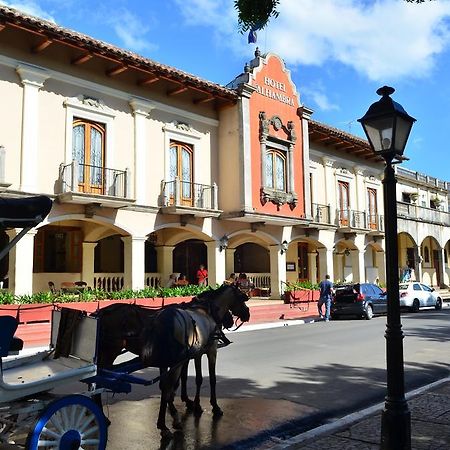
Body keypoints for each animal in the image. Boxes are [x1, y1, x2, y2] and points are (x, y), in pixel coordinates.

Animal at [141, 284, 250, 436]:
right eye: (241, 297)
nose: (248, 314)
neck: (208, 311)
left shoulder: (196, 353)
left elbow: (194, 378)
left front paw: (194, 404)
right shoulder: (211, 350)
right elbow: (210, 379)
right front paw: (214, 406)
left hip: (166, 360)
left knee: (164, 385)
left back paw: (167, 417)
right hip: (176, 361)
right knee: (168, 385)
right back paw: (168, 423)